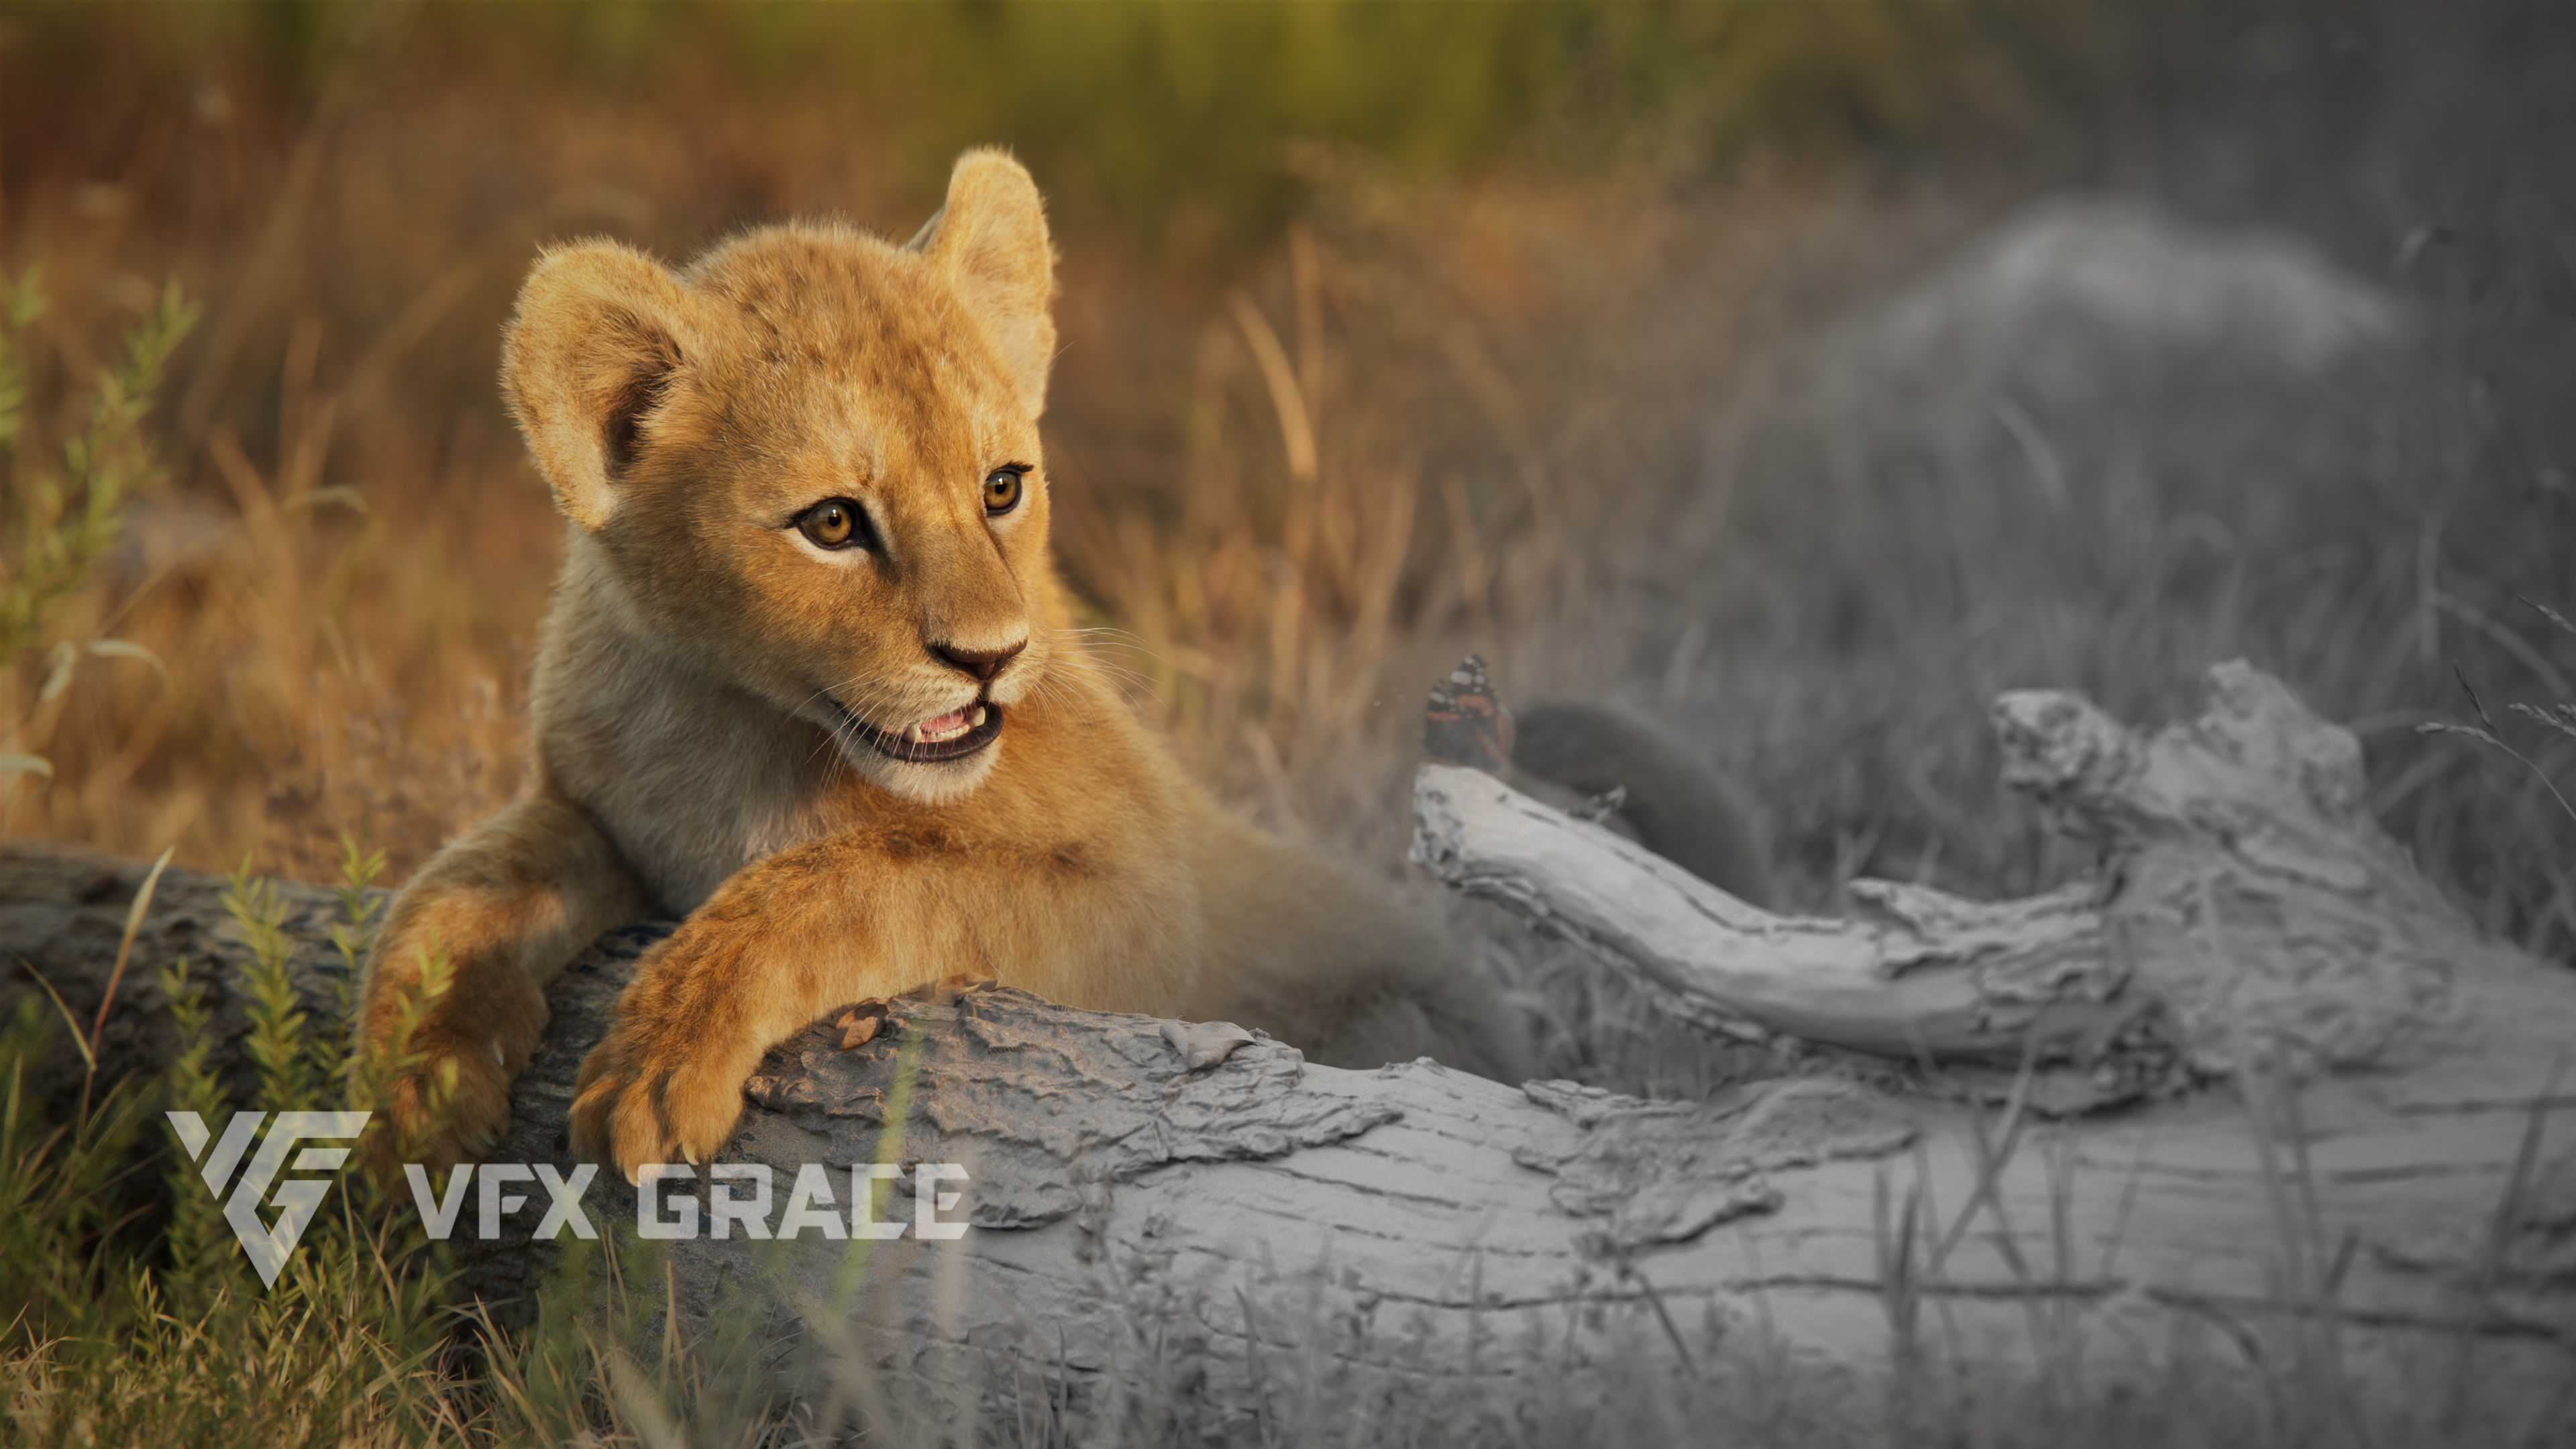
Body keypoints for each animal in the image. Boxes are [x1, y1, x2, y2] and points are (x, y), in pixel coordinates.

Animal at [355, 149, 1767, 1180]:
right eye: (833, 523)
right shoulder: (592, 808)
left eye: (1001, 487)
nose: (989, 661)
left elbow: (860, 874)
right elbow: (456, 887)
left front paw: (659, 1055)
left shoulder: (1145, 903)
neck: (745, 723)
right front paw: (409, 1090)